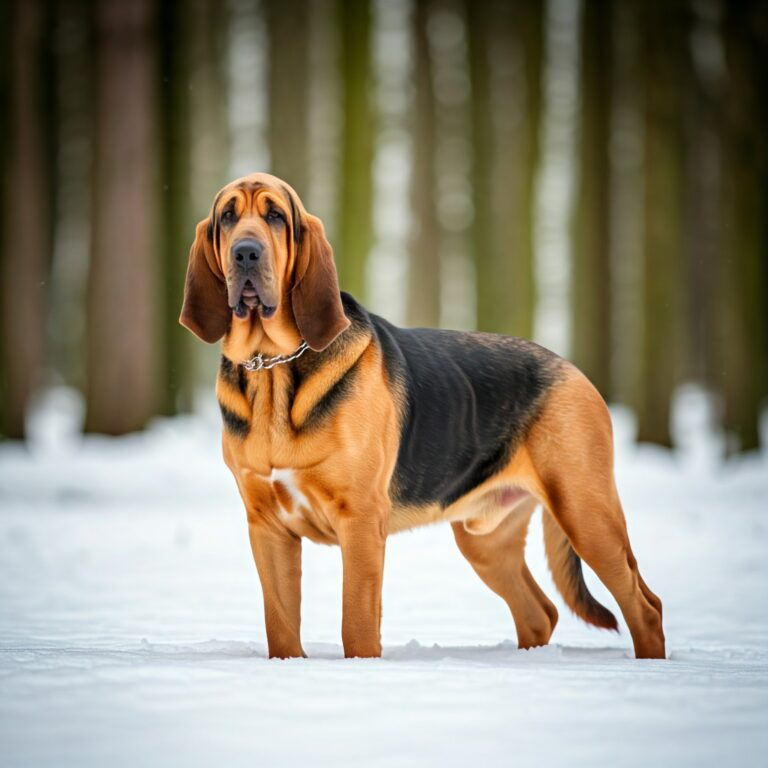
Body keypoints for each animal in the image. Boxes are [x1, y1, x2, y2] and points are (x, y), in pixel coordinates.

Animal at [180, 174, 664, 660]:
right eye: (228, 216)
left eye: (276, 216)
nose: (245, 252)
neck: (272, 368)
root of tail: (573, 371)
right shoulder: (267, 527)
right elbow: (281, 624)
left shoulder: (360, 521)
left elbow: (357, 624)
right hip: (487, 541)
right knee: (540, 613)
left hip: (586, 513)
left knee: (646, 607)